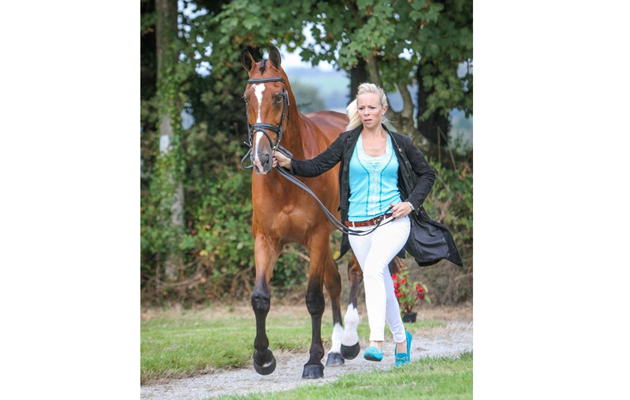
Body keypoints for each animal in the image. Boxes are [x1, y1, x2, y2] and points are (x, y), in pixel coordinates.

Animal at [239, 47, 368, 378]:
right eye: (247, 98)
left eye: (278, 97)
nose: (261, 158)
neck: (286, 180)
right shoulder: (266, 240)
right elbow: (260, 298)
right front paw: (263, 357)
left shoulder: (317, 236)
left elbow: (313, 298)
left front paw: (312, 361)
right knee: (335, 282)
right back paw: (335, 351)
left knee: (354, 272)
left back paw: (349, 341)